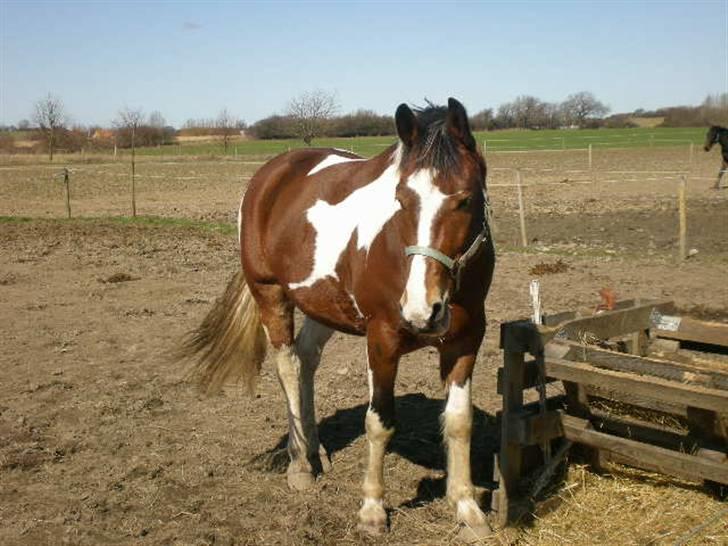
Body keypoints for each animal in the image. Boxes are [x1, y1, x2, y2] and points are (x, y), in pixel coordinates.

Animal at [185, 96, 498, 532]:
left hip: (323, 307)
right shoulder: (381, 339)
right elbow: (379, 422)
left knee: (306, 361)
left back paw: (315, 450)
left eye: (465, 198)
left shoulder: (467, 341)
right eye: (401, 199)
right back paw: (300, 464)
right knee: (287, 367)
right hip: (270, 295)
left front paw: (467, 507)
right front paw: (372, 508)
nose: (422, 311)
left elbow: (459, 421)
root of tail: (272, 172)